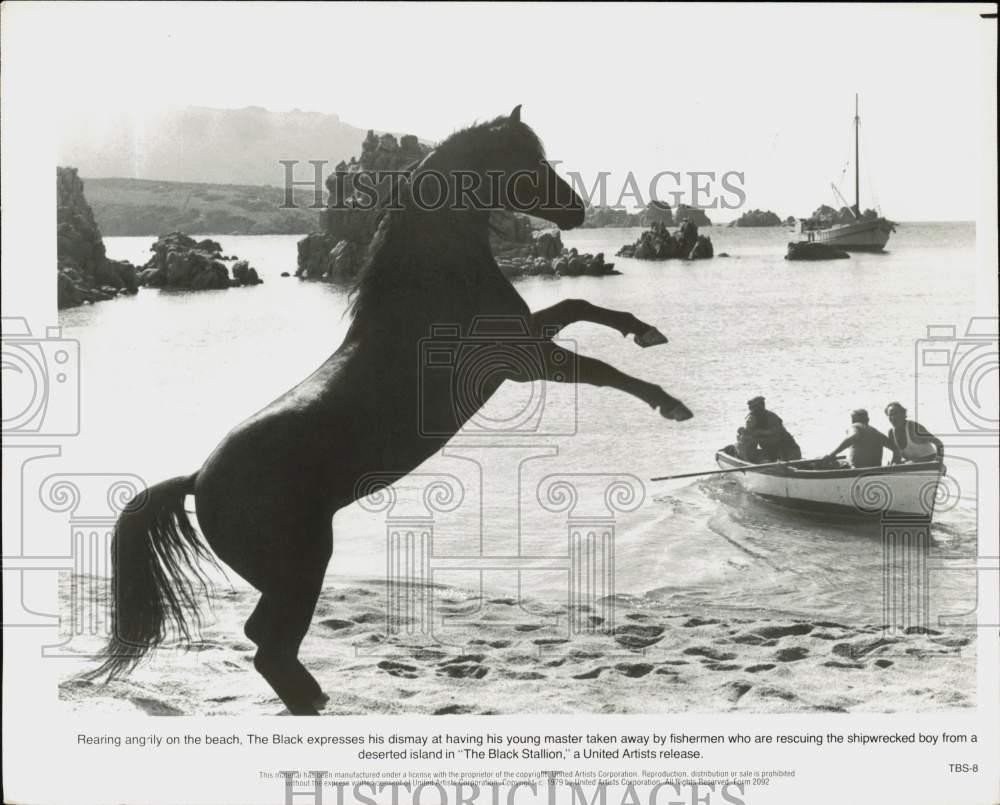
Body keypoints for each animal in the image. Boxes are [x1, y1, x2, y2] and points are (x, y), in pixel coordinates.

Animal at [91, 105, 693, 714]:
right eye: (526, 161)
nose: (577, 211)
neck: (431, 286)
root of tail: (198, 480)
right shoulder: (521, 360)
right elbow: (601, 369)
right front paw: (671, 404)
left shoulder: (526, 340)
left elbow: (580, 304)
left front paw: (646, 333)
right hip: (302, 566)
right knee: (269, 646)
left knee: (267, 643)